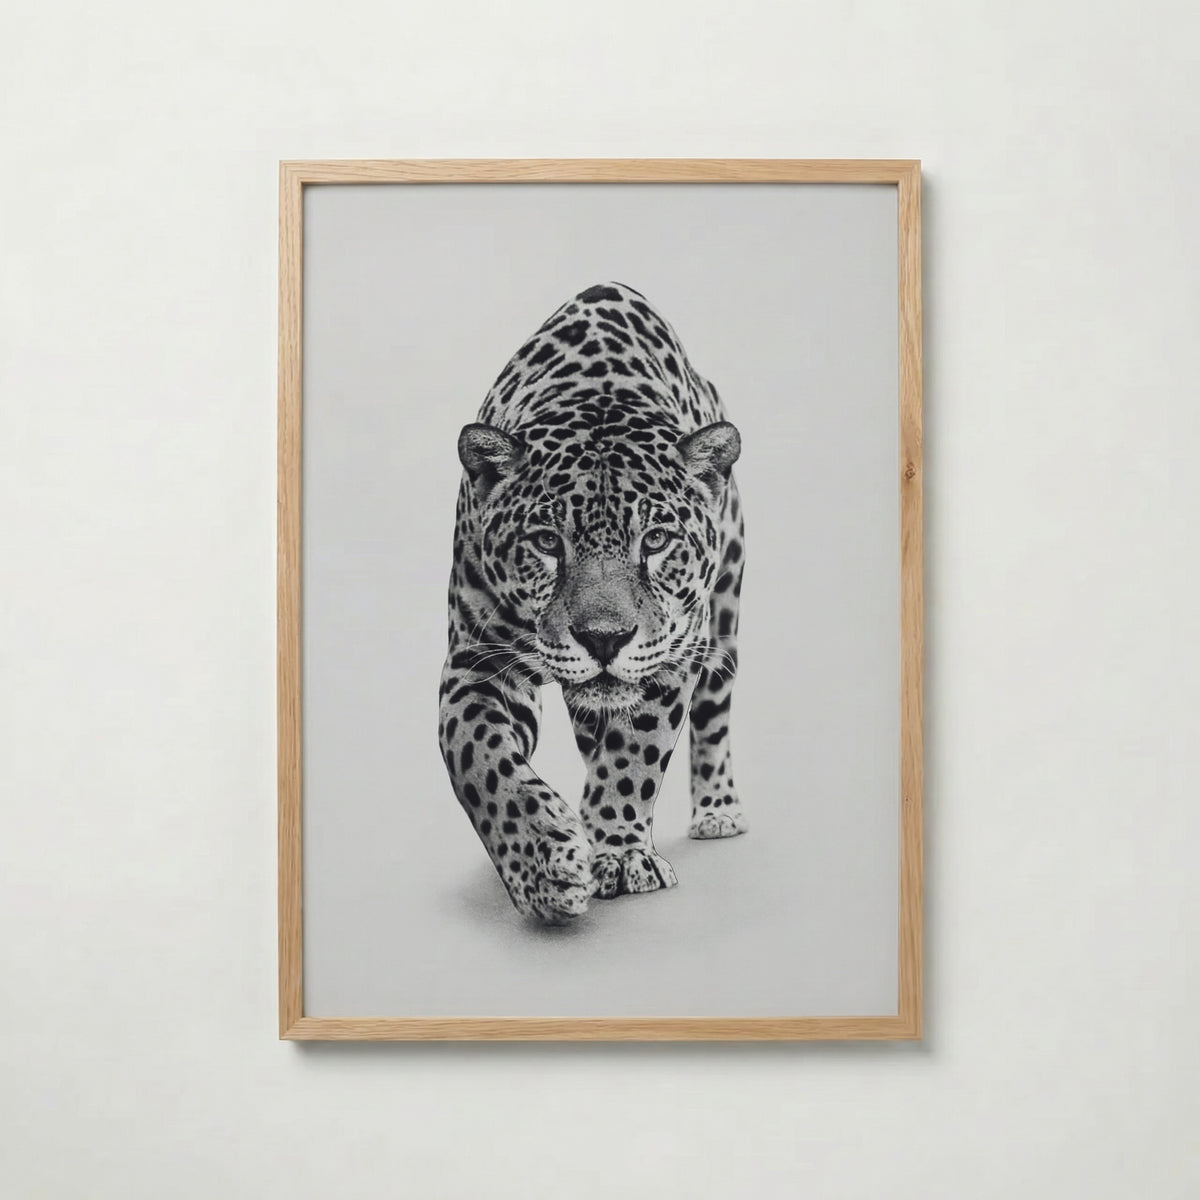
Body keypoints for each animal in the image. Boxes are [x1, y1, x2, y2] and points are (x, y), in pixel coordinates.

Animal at [438, 282, 746, 924]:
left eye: (654, 540)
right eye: (547, 542)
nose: (604, 639)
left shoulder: (673, 651)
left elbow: (634, 755)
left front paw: (621, 854)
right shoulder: (476, 662)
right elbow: (480, 759)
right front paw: (543, 865)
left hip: (725, 617)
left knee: (713, 714)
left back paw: (717, 811)